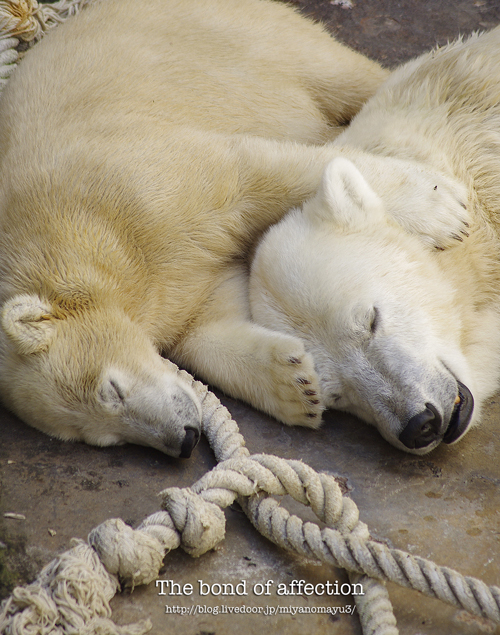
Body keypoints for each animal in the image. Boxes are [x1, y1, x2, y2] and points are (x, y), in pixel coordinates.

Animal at [0, 0, 468, 458]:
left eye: (111, 389)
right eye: (102, 439)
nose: (184, 438)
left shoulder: (124, 181)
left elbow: (252, 173)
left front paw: (442, 208)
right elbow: (204, 317)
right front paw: (295, 386)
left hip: (244, 37)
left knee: (345, 75)